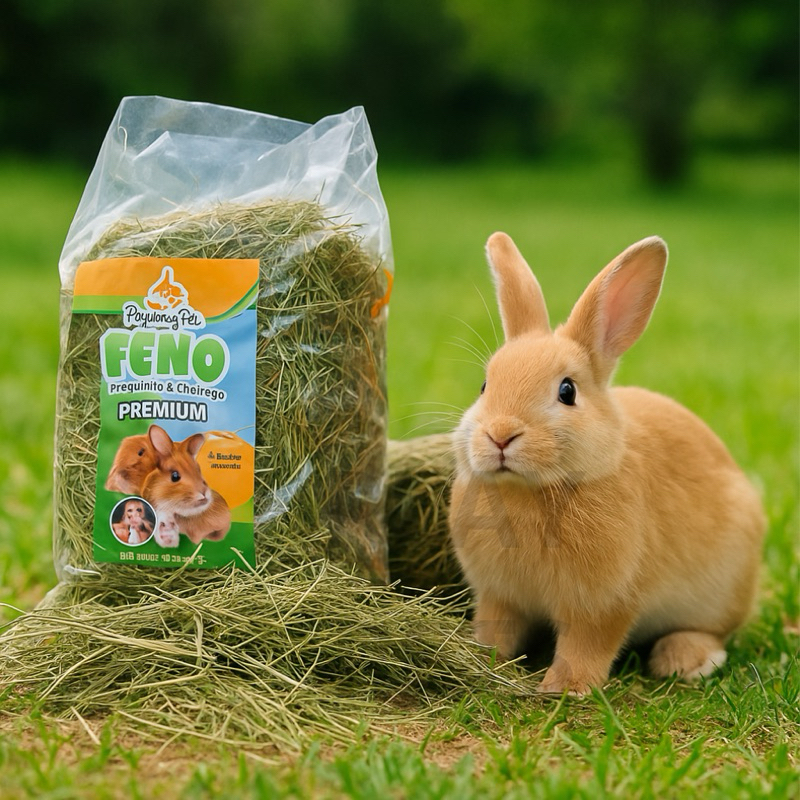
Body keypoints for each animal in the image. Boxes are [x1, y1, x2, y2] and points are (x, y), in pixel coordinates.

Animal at [448, 232, 765, 696]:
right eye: (485, 385)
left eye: (567, 391)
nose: (500, 434)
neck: (535, 490)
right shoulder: (499, 595)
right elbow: (497, 630)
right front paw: (484, 659)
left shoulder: (604, 603)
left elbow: (587, 645)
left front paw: (565, 688)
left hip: (721, 590)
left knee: (712, 631)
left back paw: (684, 660)